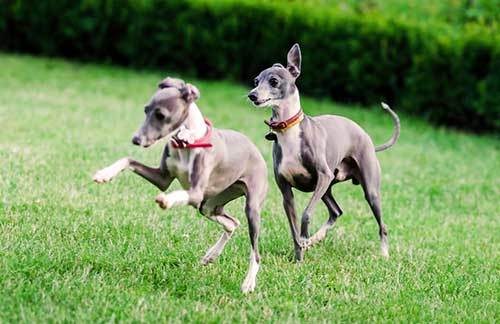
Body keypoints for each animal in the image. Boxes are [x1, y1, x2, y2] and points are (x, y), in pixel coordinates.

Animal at [92, 77, 268, 292]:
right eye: (146, 110)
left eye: (161, 115)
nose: (136, 139)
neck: (188, 141)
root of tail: (255, 148)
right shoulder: (162, 178)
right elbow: (128, 160)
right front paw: (104, 174)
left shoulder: (195, 192)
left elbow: (176, 194)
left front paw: (166, 201)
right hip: (209, 205)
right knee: (232, 223)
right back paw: (211, 255)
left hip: (251, 206)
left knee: (255, 250)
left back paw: (248, 283)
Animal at [248, 43, 400, 260]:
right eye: (256, 81)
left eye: (274, 81)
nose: (252, 95)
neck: (289, 130)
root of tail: (368, 139)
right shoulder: (286, 192)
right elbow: (293, 228)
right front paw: (299, 258)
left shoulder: (322, 175)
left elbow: (306, 214)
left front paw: (304, 238)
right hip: (328, 186)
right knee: (336, 211)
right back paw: (315, 239)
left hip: (365, 189)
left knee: (381, 224)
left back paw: (384, 254)